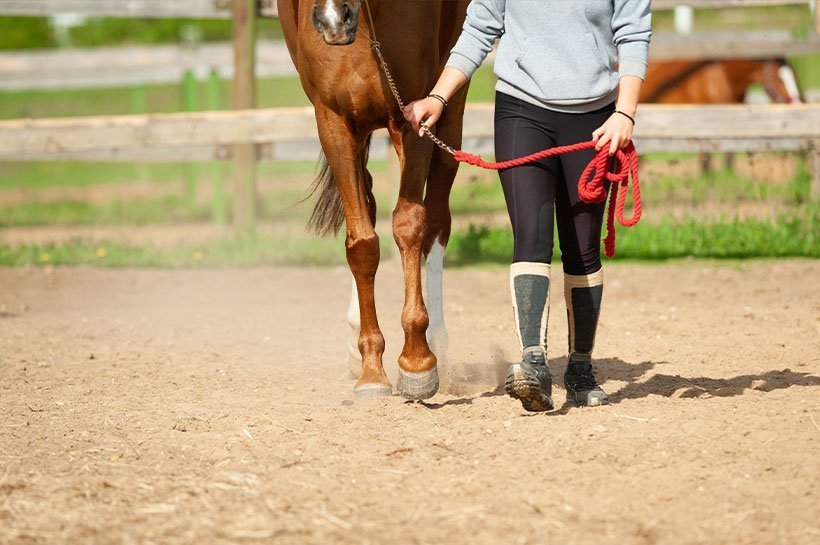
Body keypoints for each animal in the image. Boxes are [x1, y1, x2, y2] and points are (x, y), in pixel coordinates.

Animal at [276, 1, 468, 400]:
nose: (334, 21)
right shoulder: (333, 122)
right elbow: (362, 241)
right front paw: (371, 370)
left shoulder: (414, 117)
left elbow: (409, 225)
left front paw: (416, 361)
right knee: (368, 203)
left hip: (450, 111)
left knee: (437, 224)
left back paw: (439, 345)